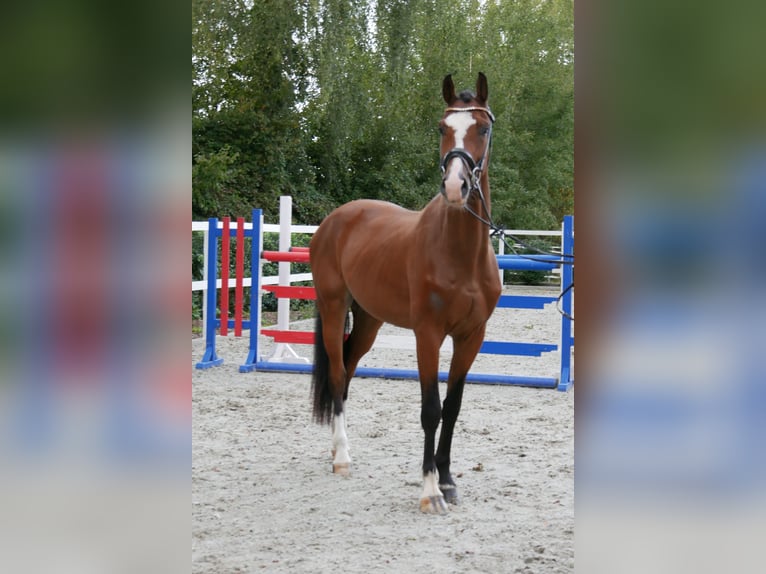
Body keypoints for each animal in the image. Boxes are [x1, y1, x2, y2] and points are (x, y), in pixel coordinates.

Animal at [308, 72, 500, 516]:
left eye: (482, 128)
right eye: (442, 128)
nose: (455, 187)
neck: (460, 254)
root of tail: (335, 220)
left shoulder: (471, 337)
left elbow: (452, 408)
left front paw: (447, 481)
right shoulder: (427, 334)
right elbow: (431, 410)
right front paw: (430, 492)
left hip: (369, 320)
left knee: (347, 372)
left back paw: (336, 450)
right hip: (333, 307)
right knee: (338, 372)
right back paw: (342, 458)